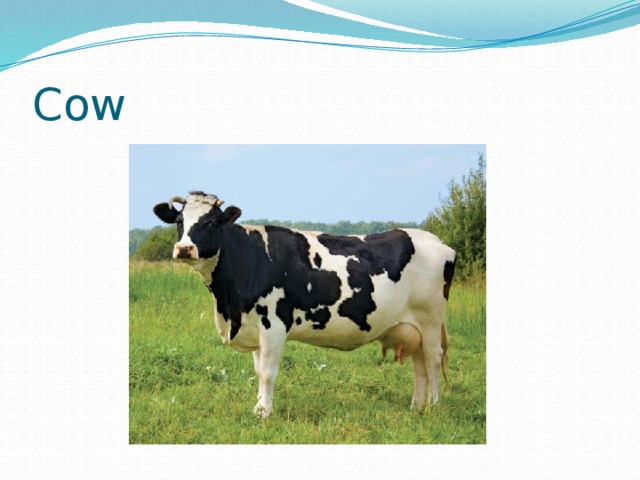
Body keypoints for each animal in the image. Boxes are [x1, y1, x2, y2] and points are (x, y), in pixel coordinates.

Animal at [153, 191, 456, 418]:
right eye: (179, 221)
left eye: (211, 223)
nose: (184, 249)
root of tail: (437, 240)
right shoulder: (254, 326)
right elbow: (258, 371)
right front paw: (259, 408)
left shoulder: (274, 325)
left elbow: (267, 373)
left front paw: (264, 412)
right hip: (412, 326)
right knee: (419, 365)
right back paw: (416, 406)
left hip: (430, 320)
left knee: (432, 359)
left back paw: (433, 406)